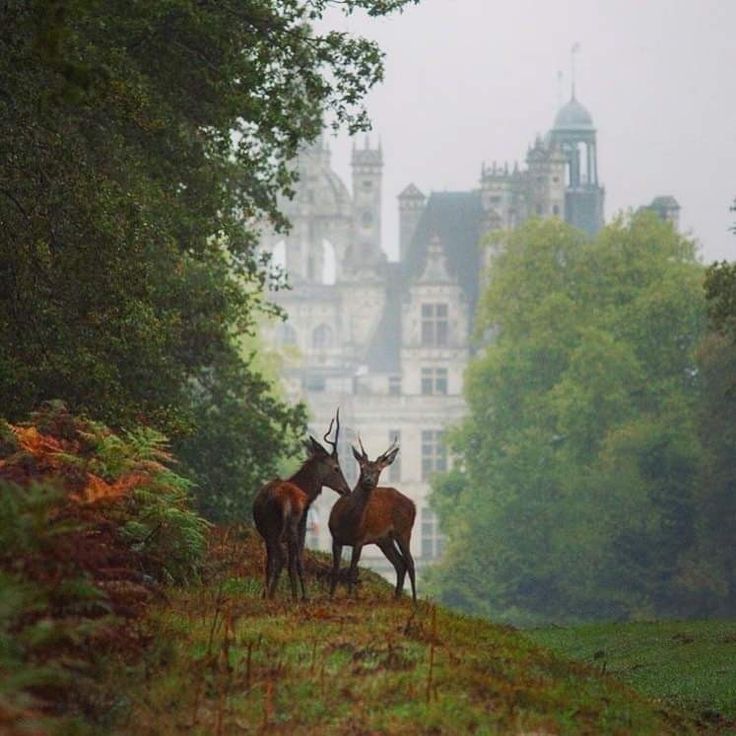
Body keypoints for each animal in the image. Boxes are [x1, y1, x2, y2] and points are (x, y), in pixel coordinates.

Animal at [253, 412, 350, 600]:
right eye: (336, 468)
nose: (347, 489)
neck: (306, 491)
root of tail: (279, 500)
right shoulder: (304, 519)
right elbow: (299, 559)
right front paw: (304, 596)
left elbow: (273, 562)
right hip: (290, 525)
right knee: (285, 558)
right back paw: (284, 595)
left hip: (269, 530)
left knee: (273, 559)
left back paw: (268, 594)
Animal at [326, 436, 414, 604]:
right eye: (362, 467)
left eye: (378, 470)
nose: (368, 480)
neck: (348, 522)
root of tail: (413, 505)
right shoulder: (335, 538)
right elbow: (335, 569)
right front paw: (331, 596)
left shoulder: (360, 540)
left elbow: (352, 571)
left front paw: (350, 597)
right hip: (384, 540)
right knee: (400, 564)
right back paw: (396, 597)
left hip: (404, 531)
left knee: (410, 562)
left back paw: (415, 602)